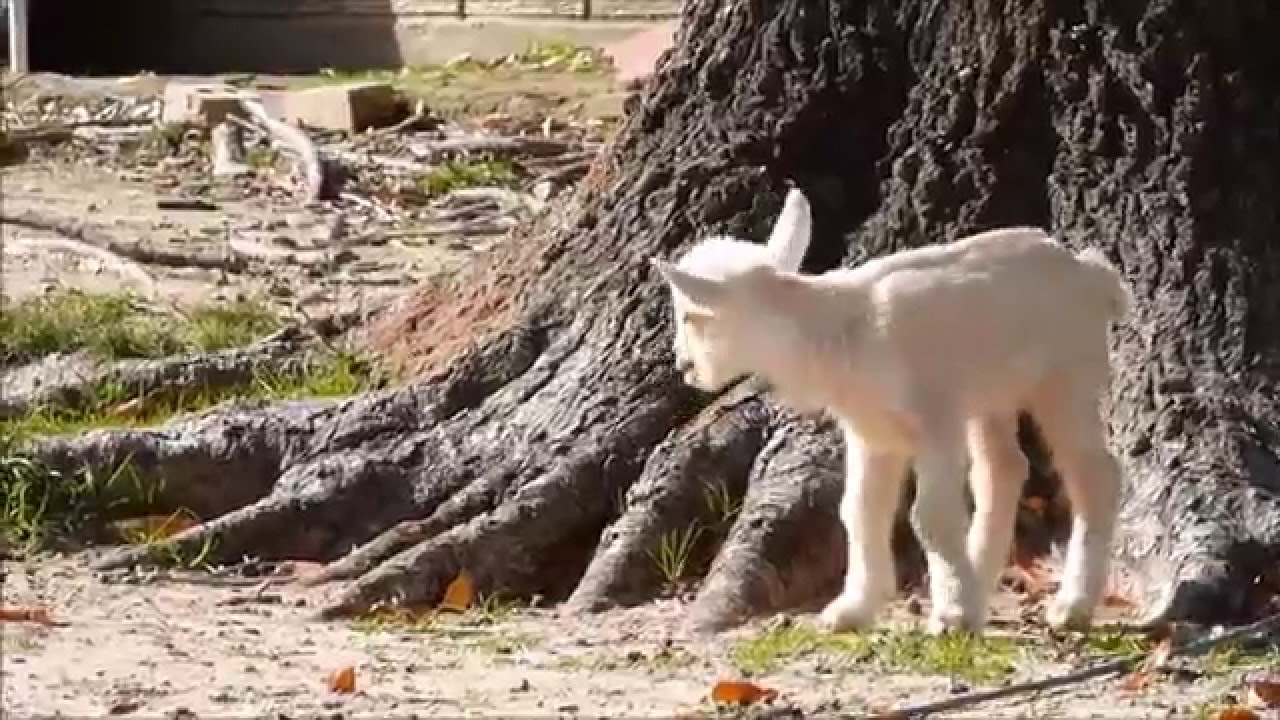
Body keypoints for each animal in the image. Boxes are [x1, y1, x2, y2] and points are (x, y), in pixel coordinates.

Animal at [651, 189, 1131, 635]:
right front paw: (853, 610)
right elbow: (859, 511)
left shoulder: (936, 423)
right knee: (1003, 470)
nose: (683, 366)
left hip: (1067, 377)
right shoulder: (873, 434)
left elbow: (931, 517)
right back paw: (978, 583)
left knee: (1094, 477)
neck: (838, 331)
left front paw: (952, 616)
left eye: (691, 316)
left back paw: (1070, 606)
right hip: (989, 396)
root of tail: (1089, 273)